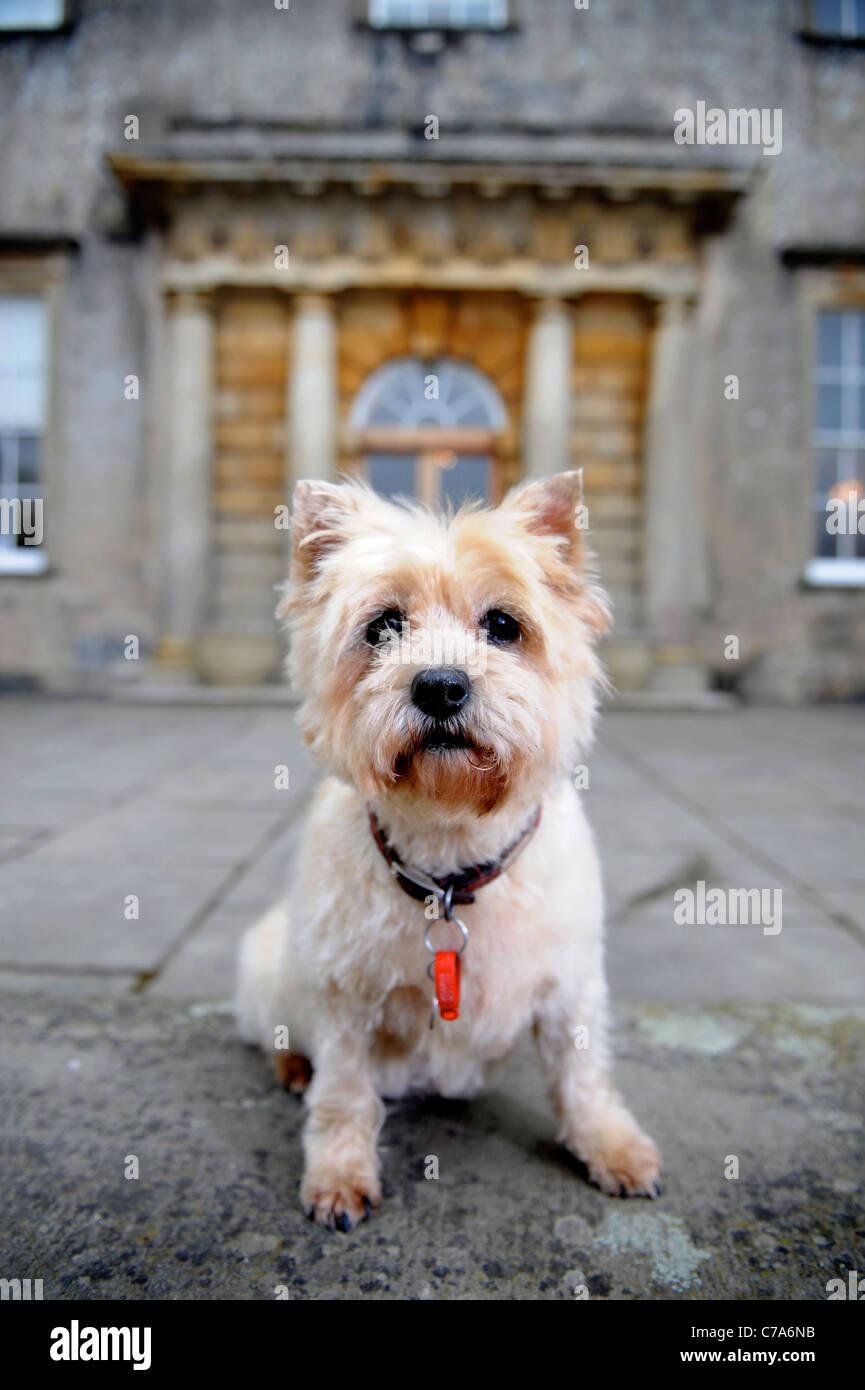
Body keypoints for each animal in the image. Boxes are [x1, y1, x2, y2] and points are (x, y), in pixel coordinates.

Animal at [237, 475, 664, 1228]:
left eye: (503, 625)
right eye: (382, 626)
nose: (440, 685)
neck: (450, 858)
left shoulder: (570, 986)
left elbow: (582, 1077)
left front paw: (611, 1146)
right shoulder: (345, 1001)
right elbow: (343, 1093)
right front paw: (339, 1175)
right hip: (265, 962)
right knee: (277, 1036)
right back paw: (292, 1068)